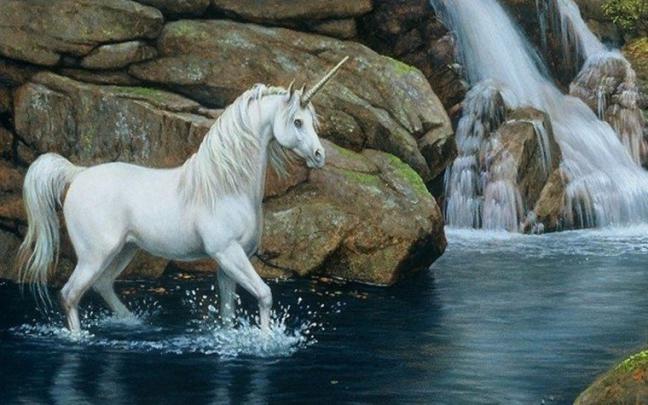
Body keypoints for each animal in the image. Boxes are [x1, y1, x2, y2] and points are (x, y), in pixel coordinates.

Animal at [16, 57, 349, 334]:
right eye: (297, 121)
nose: (319, 156)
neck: (225, 186)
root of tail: (78, 174)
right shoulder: (228, 253)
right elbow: (265, 295)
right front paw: (265, 341)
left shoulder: (226, 262)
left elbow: (228, 312)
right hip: (95, 254)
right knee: (69, 295)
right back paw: (79, 338)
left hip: (124, 250)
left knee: (103, 285)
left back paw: (133, 323)